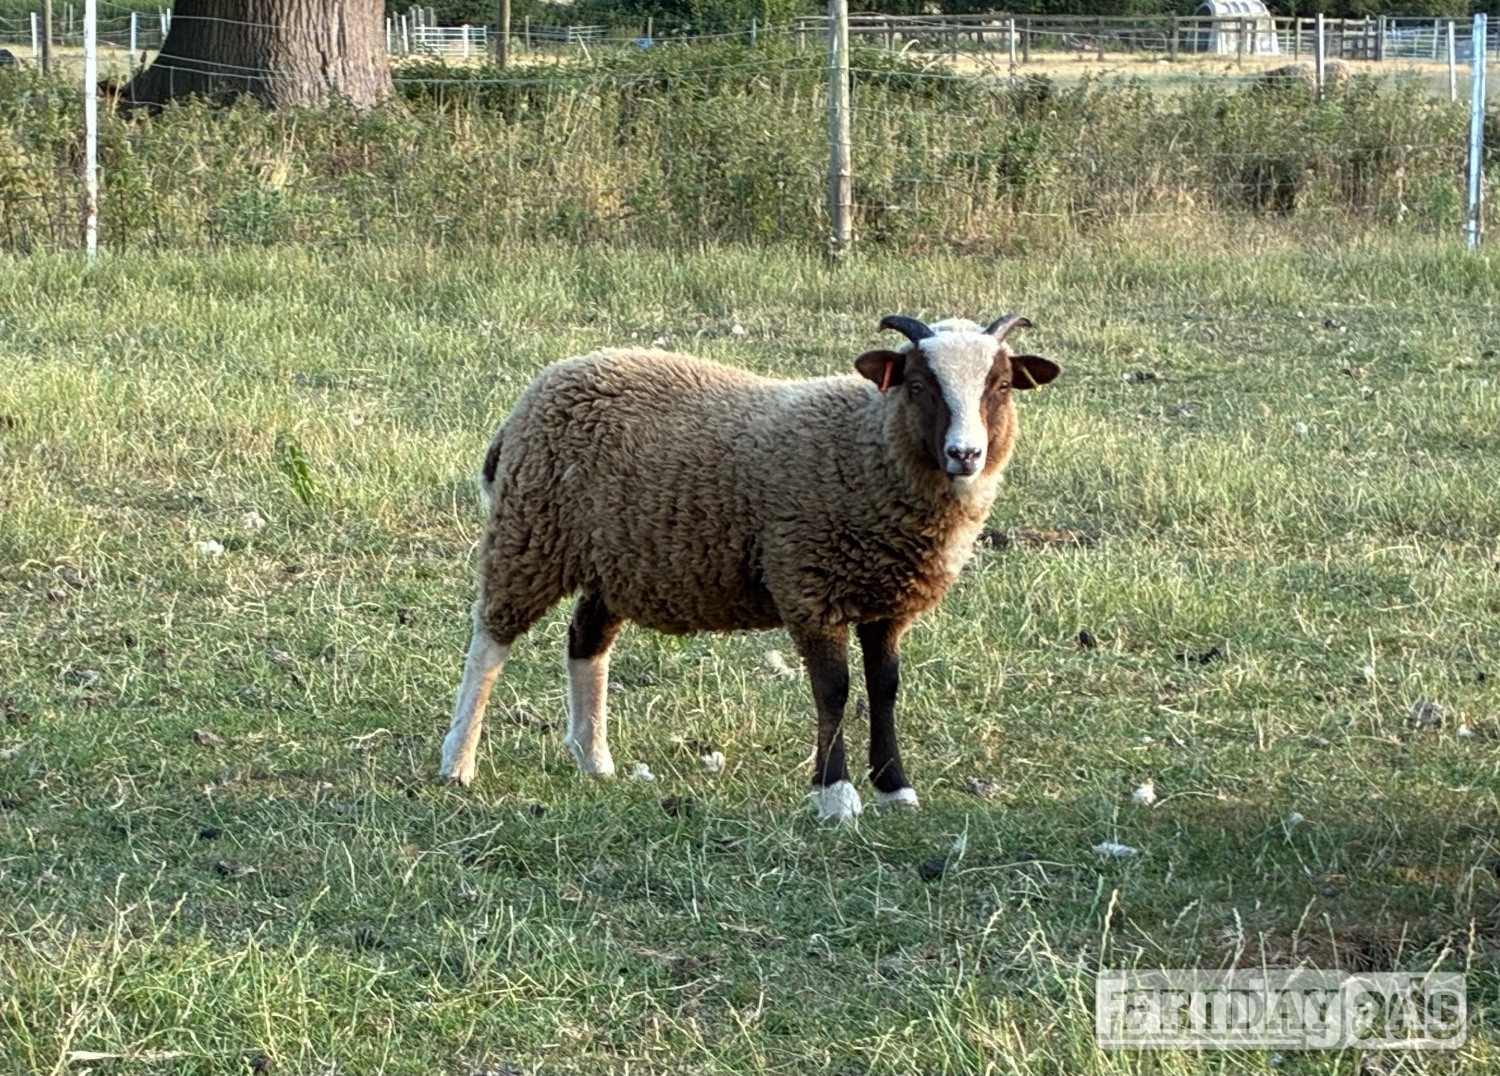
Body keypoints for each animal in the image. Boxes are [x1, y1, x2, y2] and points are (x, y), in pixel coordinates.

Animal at [439, 315, 1060, 822]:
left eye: (1000, 386)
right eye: (918, 385)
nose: (965, 455)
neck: (867, 445)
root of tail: (540, 390)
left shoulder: (888, 602)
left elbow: (885, 688)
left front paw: (895, 788)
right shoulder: (810, 586)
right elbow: (834, 692)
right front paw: (835, 795)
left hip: (613, 560)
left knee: (585, 641)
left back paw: (594, 759)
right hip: (529, 533)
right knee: (490, 642)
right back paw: (457, 762)